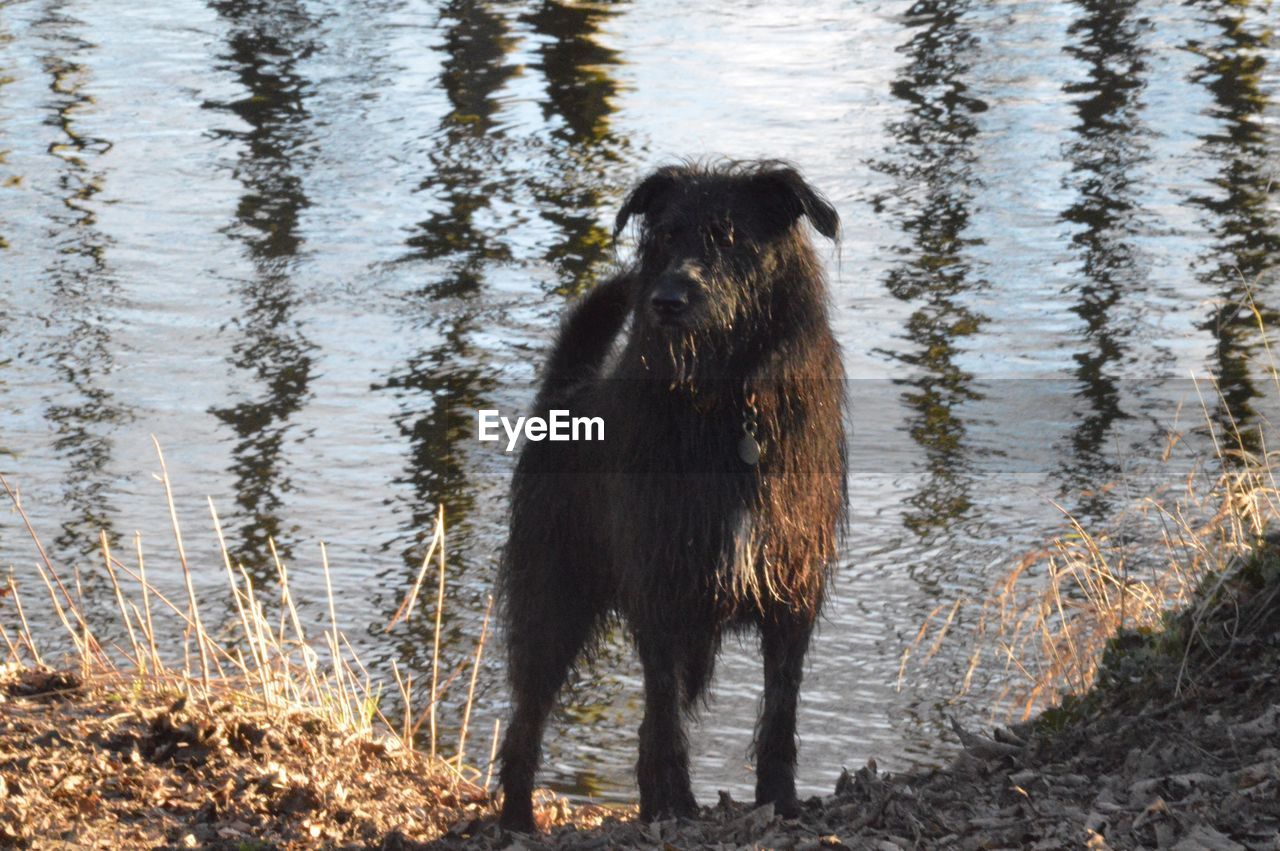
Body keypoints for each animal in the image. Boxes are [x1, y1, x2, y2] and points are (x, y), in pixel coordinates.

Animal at [499, 159, 849, 829]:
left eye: (728, 238)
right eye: (665, 238)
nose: (665, 301)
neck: (726, 404)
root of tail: (566, 394)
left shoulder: (792, 591)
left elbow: (781, 707)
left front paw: (779, 799)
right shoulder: (660, 587)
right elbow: (662, 714)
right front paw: (674, 806)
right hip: (552, 600)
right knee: (525, 719)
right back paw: (516, 820)